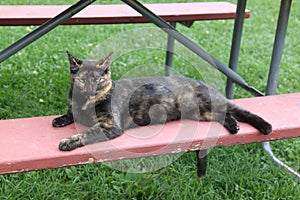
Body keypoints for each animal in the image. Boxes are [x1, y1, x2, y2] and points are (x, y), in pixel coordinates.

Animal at [52, 52, 274, 151]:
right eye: (82, 80)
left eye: (99, 80)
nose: (91, 89)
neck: (84, 103)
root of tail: (202, 82)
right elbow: (70, 114)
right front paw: (60, 119)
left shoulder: (110, 125)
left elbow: (86, 133)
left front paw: (67, 141)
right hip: (203, 113)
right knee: (225, 115)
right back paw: (234, 126)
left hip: (211, 104)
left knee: (241, 111)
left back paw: (265, 125)